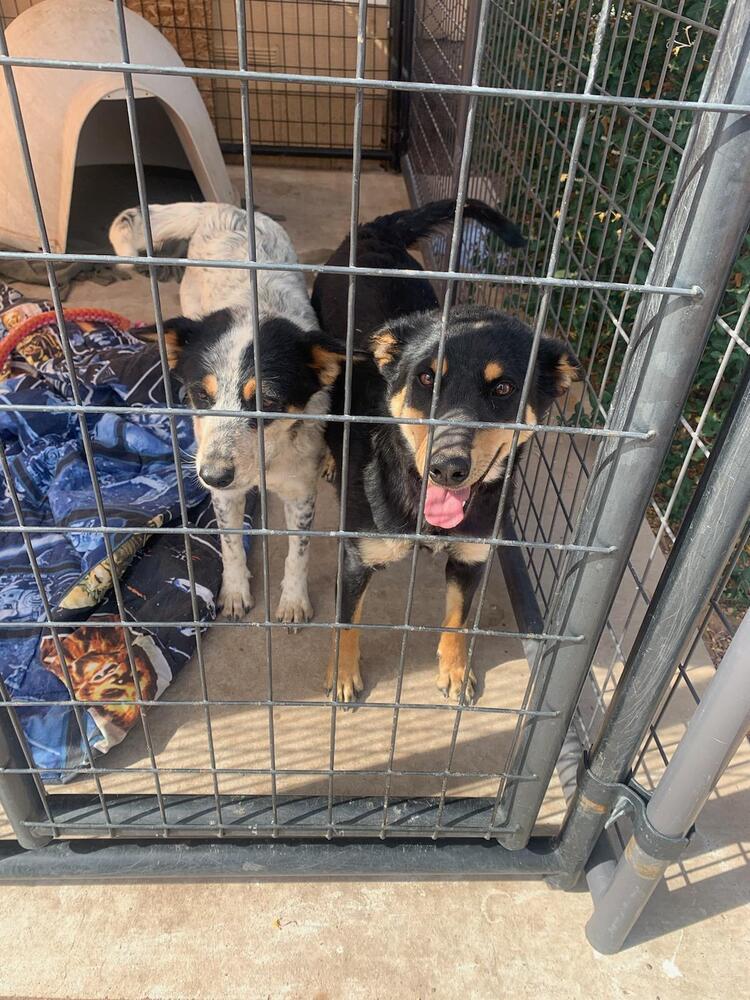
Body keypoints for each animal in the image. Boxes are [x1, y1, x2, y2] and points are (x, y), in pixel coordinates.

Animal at [111, 202, 346, 624]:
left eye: (267, 402)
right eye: (199, 395)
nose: (213, 476)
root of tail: (224, 207)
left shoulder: (301, 494)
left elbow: (297, 554)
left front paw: (293, 600)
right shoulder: (225, 496)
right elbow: (231, 544)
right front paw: (235, 592)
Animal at [312, 201, 580, 704]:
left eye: (503, 389)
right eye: (426, 378)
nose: (447, 469)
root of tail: (373, 233)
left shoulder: (472, 556)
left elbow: (457, 619)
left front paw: (455, 671)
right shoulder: (356, 558)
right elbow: (346, 623)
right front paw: (341, 674)